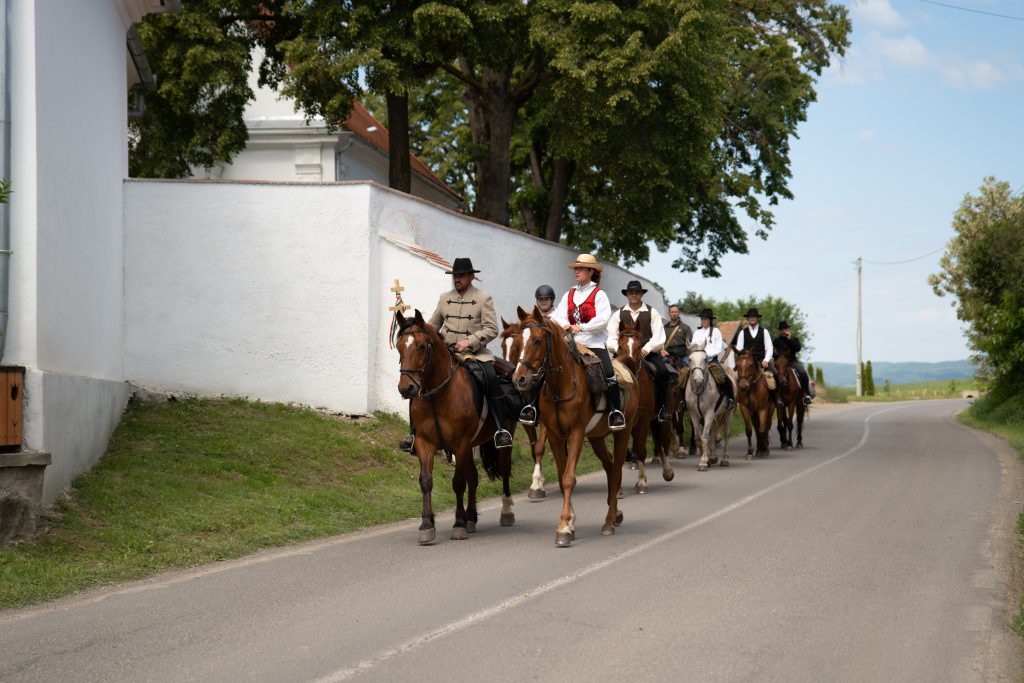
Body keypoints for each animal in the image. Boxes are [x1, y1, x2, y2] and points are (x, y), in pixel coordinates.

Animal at [395, 309, 516, 544]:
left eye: (421, 346)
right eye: (398, 346)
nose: (406, 388)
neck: (438, 394)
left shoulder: (460, 443)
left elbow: (458, 482)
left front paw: (458, 524)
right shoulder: (425, 443)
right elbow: (426, 481)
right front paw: (427, 525)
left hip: (499, 442)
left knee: (504, 469)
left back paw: (505, 513)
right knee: (474, 477)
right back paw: (471, 518)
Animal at [499, 317, 548, 499]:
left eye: (517, 347)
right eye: (503, 346)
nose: (509, 376)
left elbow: (540, 447)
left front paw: (537, 485)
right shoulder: (525, 421)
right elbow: (534, 449)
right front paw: (539, 481)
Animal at [509, 307, 634, 548]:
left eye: (537, 340)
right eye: (518, 341)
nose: (519, 379)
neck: (561, 384)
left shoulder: (575, 432)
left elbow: (569, 478)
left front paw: (565, 528)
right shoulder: (555, 435)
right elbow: (561, 476)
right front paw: (569, 522)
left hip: (622, 433)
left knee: (616, 469)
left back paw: (609, 521)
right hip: (596, 438)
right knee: (609, 466)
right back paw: (615, 513)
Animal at [614, 323, 671, 493]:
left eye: (640, 346)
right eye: (620, 345)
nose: (629, 364)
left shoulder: (643, 420)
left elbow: (640, 449)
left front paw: (641, 483)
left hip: (663, 419)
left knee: (664, 441)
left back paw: (668, 471)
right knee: (658, 441)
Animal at [684, 339, 733, 471]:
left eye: (705, 359)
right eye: (690, 359)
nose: (698, 379)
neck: (699, 391)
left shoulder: (709, 413)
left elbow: (705, 437)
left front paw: (703, 463)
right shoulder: (693, 414)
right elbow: (698, 437)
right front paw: (705, 460)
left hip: (728, 412)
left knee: (726, 434)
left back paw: (725, 459)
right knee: (714, 431)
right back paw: (713, 457)